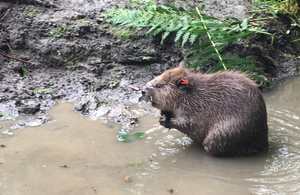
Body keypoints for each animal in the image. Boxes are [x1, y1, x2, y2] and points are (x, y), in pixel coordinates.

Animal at [141, 67, 270, 157]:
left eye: (159, 85)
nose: (142, 91)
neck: (190, 93)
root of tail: (264, 144)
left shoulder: (193, 107)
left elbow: (189, 124)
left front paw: (164, 120)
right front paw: (164, 113)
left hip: (222, 134)